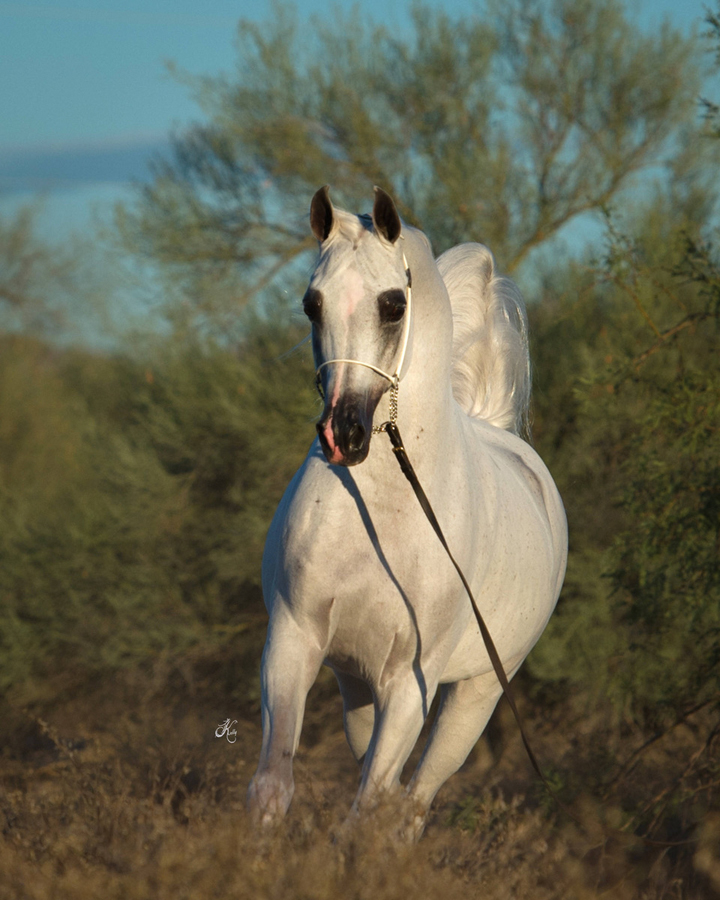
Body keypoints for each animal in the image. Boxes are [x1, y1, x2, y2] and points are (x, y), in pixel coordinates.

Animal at [248, 185, 568, 836]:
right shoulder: (294, 639)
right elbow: (274, 786)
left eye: (393, 304)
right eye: (311, 305)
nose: (342, 435)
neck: (384, 509)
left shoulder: (409, 684)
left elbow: (365, 813)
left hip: (475, 696)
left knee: (412, 806)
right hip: (355, 689)